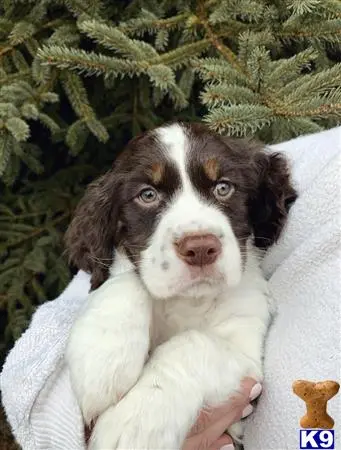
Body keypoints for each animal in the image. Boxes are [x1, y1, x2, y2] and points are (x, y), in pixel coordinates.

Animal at [63, 121, 294, 448]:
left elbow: (194, 342)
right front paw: (101, 366)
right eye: (147, 195)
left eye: (223, 188)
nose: (200, 248)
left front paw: (134, 421)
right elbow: (128, 279)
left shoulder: (248, 359)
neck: (188, 300)